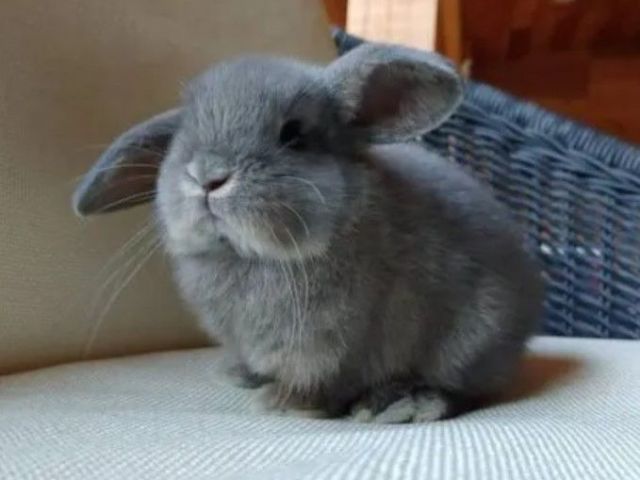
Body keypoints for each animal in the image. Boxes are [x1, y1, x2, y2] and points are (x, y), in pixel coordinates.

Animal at [73, 42, 544, 423]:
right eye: (181, 136)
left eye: (294, 135)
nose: (207, 176)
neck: (251, 255)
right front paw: (242, 376)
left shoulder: (329, 349)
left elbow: (321, 383)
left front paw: (283, 403)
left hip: (470, 340)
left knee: (463, 389)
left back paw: (401, 404)